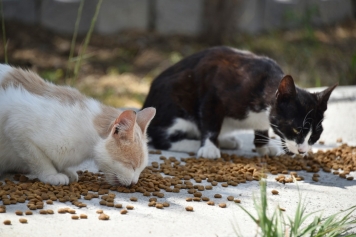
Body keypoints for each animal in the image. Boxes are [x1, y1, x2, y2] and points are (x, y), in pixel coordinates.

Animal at [0, 64, 156, 185]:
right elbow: (39, 159)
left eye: (140, 169)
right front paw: (51, 175)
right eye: (131, 166)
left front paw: (66, 171)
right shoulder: (16, 125)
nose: (134, 182)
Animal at [142, 45, 336, 157]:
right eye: (296, 129)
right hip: (176, 105)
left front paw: (263, 146)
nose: (303, 151)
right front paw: (209, 148)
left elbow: (262, 127)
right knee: (160, 137)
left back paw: (226, 141)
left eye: (315, 135)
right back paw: (196, 144)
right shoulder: (213, 93)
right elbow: (210, 124)